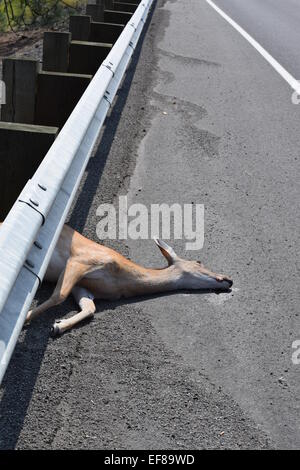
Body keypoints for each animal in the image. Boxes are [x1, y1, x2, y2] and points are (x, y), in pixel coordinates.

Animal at [21, 223, 232, 334]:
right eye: (199, 261)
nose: (229, 279)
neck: (122, 281)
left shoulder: (84, 285)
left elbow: (90, 308)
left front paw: (58, 326)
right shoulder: (81, 259)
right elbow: (59, 295)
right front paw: (24, 319)